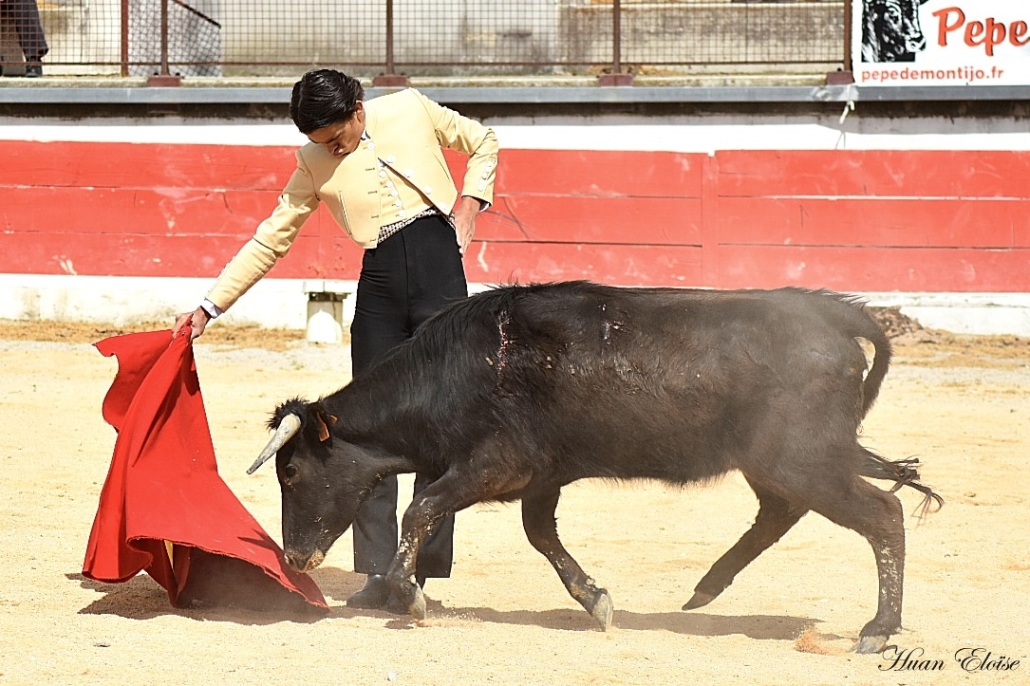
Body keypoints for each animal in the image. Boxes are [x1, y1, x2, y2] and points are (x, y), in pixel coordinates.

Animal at [247, 282, 941, 654]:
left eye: (292, 474)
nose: (295, 558)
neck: (456, 368)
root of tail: (828, 313)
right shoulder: (539, 479)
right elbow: (541, 537)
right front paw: (597, 600)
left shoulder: (491, 466)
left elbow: (421, 508)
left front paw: (407, 595)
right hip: (779, 462)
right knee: (783, 512)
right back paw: (705, 588)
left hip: (802, 458)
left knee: (883, 513)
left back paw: (877, 629)